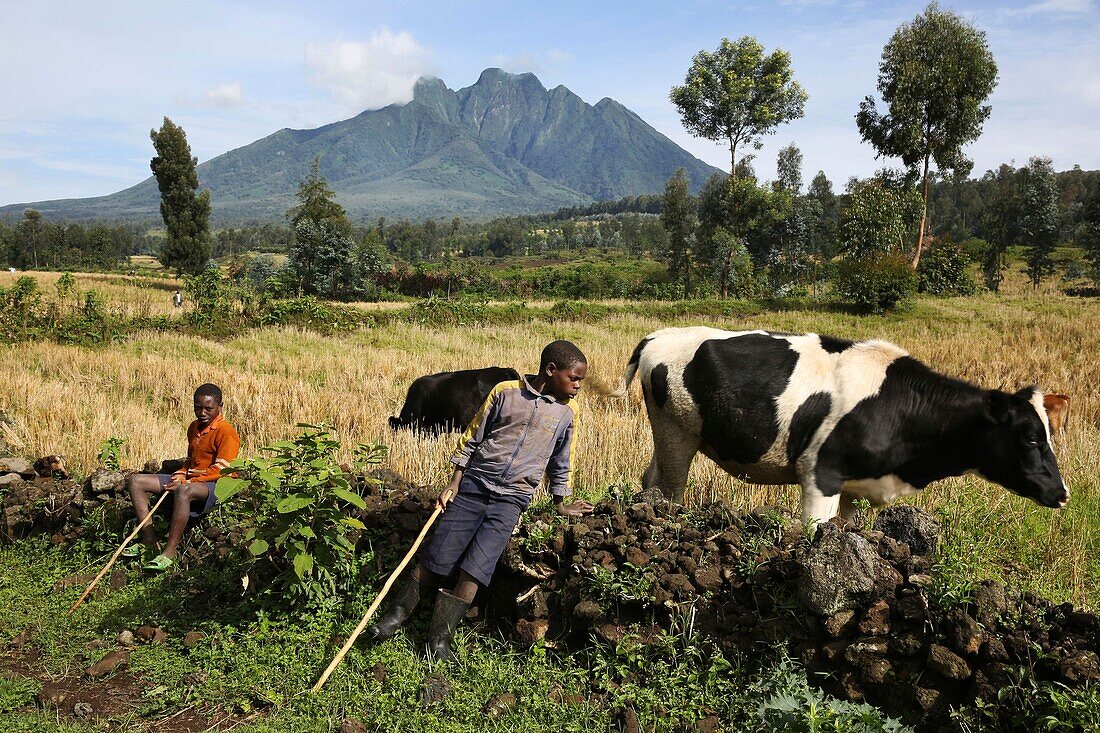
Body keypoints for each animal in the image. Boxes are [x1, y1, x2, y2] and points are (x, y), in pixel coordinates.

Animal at [624, 325, 1069, 519]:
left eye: (1050, 433)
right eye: (1031, 438)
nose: (1061, 492)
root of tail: (657, 337)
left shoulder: (858, 487)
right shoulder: (819, 474)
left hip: (668, 437)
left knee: (649, 481)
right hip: (677, 435)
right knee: (670, 492)